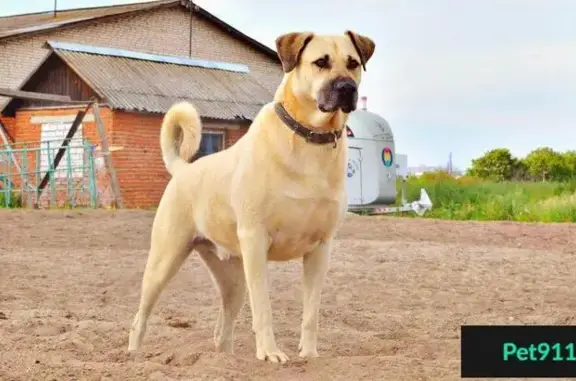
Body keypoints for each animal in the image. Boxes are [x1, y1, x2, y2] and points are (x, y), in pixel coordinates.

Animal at [127, 29, 376, 362]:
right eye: (321, 62)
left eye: (353, 63)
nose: (347, 88)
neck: (308, 140)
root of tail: (183, 169)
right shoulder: (256, 240)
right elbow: (263, 309)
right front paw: (270, 353)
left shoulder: (320, 248)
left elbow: (311, 312)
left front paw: (309, 354)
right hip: (165, 260)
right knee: (140, 316)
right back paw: (132, 355)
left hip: (233, 278)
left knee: (222, 330)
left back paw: (225, 360)